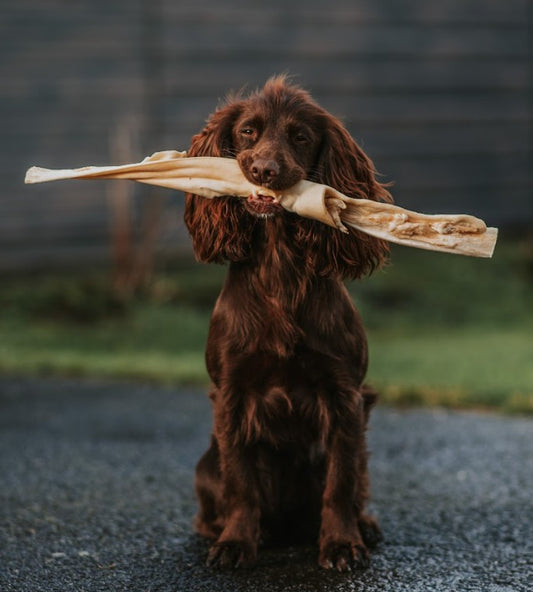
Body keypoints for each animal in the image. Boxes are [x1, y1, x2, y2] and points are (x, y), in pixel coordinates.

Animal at [184, 76, 390, 572]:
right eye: (247, 132)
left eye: (300, 136)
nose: (264, 170)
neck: (279, 267)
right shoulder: (232, 392)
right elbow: (241, 481)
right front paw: (236, 543)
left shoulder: (345, 395)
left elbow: (340, 482)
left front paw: (342, 544)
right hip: (205, 468)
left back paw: (365, 526)